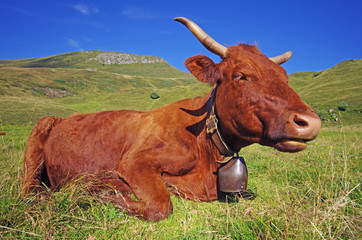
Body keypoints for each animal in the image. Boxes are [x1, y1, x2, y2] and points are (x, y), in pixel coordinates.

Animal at [21, 17, 320, 222]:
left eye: (285, 77)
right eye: (241, 75)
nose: (310, 122)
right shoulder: (136, 163)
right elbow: (160, 205)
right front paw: (103, 193)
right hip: (36, 142)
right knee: (28, 190)